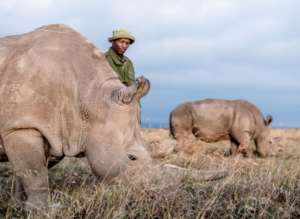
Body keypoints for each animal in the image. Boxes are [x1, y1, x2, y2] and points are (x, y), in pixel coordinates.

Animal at [0, 24, 226, 210]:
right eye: (132, 157)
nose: (155, 195)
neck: (91, 98)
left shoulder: (56, 133)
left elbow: (29, 173)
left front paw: (19, 206)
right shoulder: (21, 127)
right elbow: (35, 175)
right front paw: (41, 211)